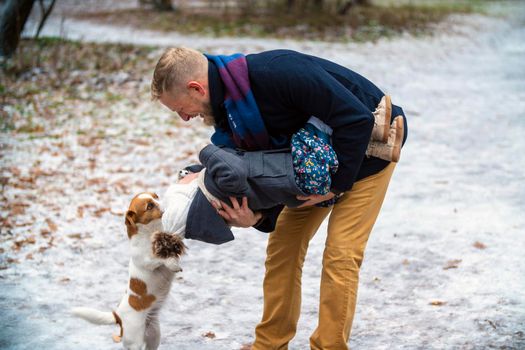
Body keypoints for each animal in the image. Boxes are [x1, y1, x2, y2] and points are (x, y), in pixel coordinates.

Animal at [71, 193, 186, 348]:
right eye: (149, 206)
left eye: (156, 196)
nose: (167, 203)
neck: (150, 232)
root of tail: (118, 315)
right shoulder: (147, 261)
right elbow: (159, 259)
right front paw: (172, 263)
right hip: (134, 342)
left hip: (154, 335)